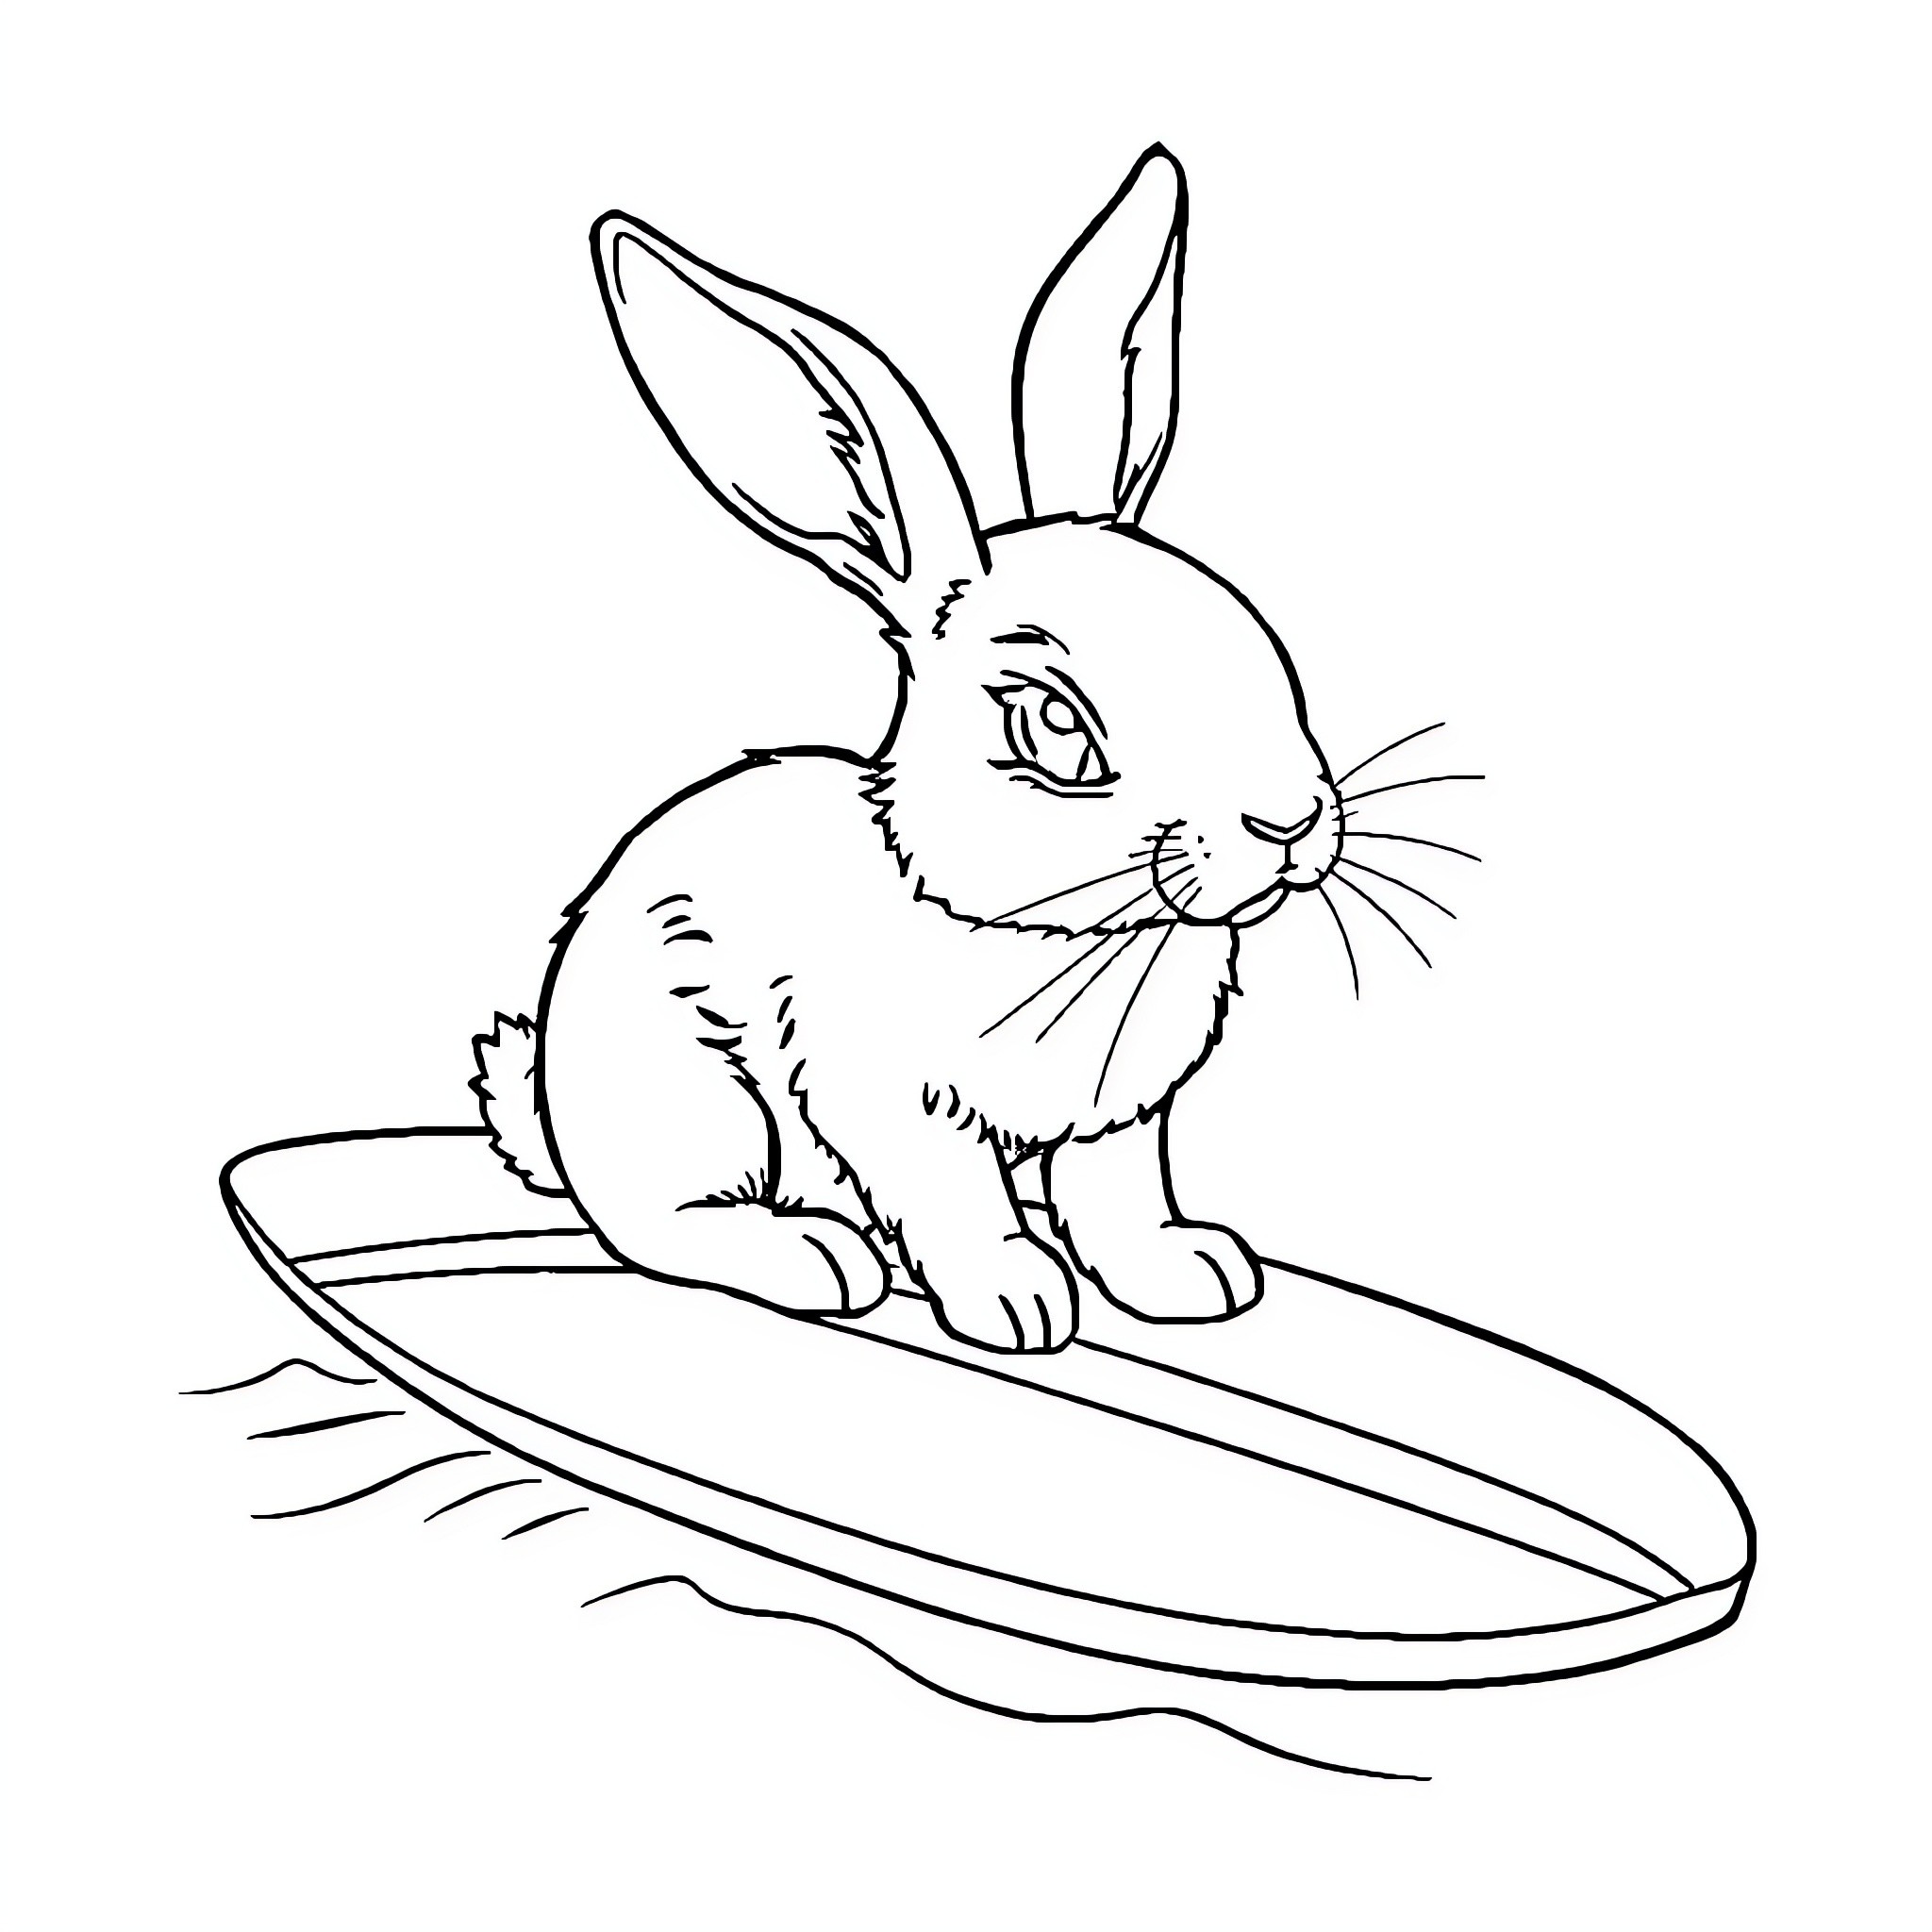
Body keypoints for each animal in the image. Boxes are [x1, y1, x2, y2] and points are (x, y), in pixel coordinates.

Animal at [475, 147, 1345, 1355]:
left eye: (1255, 647)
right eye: (1053, 727)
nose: (1288, 822)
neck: (1060, 934)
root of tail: (554, 1113)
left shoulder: (1123, 1119)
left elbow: (1118, 1195)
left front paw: (1186, 1275)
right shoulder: (890, 1099)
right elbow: (955, 1199)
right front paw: (1017, 1301)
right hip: (696, 1094)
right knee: (663, 1222)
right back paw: (814, 1255)